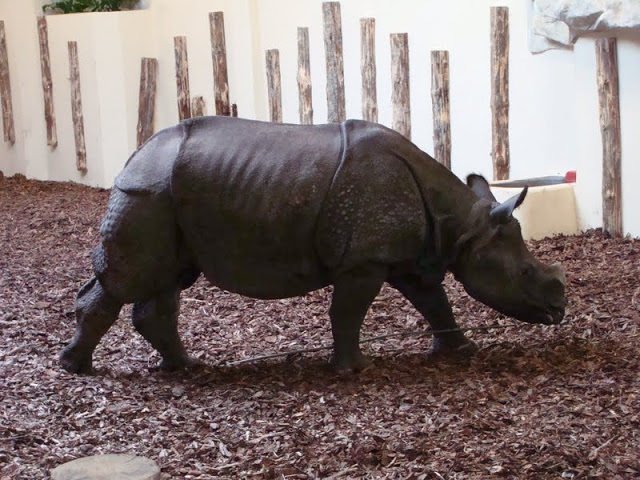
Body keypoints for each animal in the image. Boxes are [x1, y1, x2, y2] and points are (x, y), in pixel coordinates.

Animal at [60, 117, 566, 374]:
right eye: (526, 274)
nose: (560, 309)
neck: (461, 224)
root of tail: (135, 155)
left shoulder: (410, 256)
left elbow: (434, 301)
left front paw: (459, 350)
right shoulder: (364, 260)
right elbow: (348, 312)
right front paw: (351, 370)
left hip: (162, 198)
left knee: (166, 280)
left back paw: (186, 368)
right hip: (146, 195)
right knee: (131, 280)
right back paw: (77, 368)